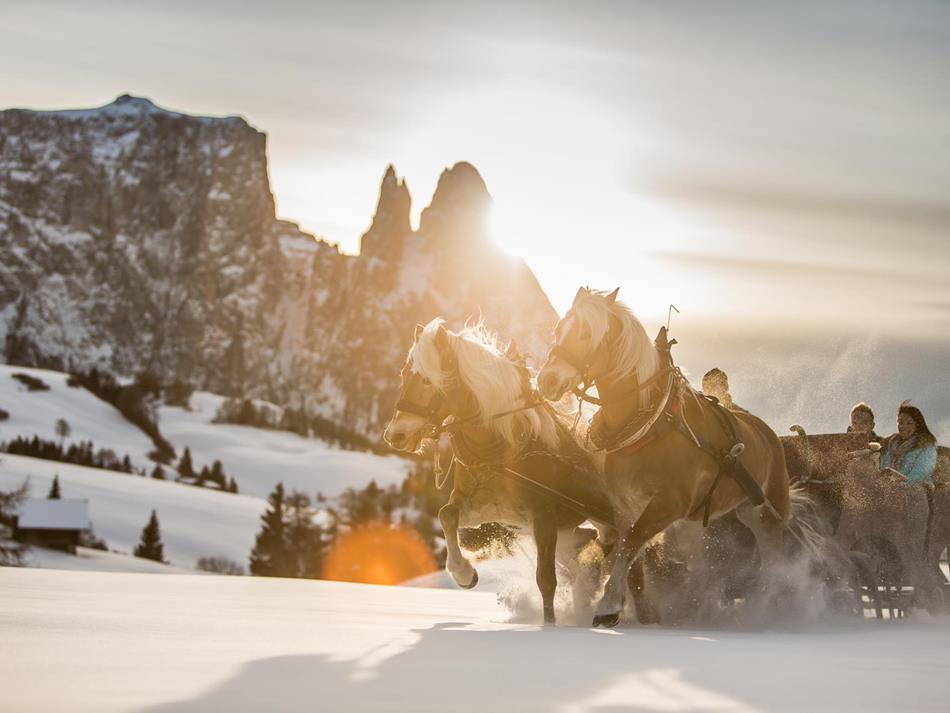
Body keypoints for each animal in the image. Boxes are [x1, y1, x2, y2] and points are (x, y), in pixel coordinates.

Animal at [384, 318, 612, 624]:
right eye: (404, 375)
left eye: (428, 380)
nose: (395, 435)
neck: (503, 450)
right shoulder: (485, 509)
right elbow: (447, 514)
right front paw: (464, 573)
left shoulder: (544, 516)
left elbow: (546, 580)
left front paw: (550, 625)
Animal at [540, 286, 800, 624]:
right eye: (559, 329)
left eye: (585, 333)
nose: (546, 380)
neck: (650, 424)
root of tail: (766, 431)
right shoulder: (625, 504)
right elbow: (627, 549)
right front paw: (630, 605)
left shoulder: (669, 504)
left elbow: (632, 542)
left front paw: (608, 604)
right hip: (710, 516)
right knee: (697, 561)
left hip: (767, 511)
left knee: (773, 558)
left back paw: (770, 607)